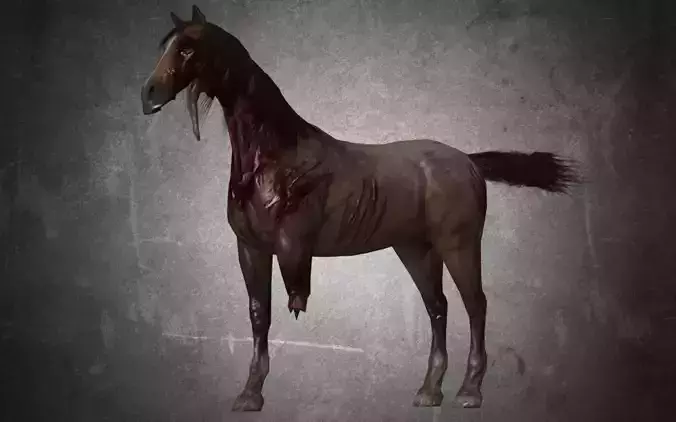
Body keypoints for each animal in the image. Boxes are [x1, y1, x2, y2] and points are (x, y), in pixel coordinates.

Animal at [140, 5, 579, 412]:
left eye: (187, 47)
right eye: (164, 45)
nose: (148, 95)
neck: (272, 158)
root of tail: (468, 161)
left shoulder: (287, 246)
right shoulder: (250, 248)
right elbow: (258, 314)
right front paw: (250, 395)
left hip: (459, 246)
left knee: (476, 306)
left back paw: (470, 391)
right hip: (416, 249)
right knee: (438, 307)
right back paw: (429, 391)